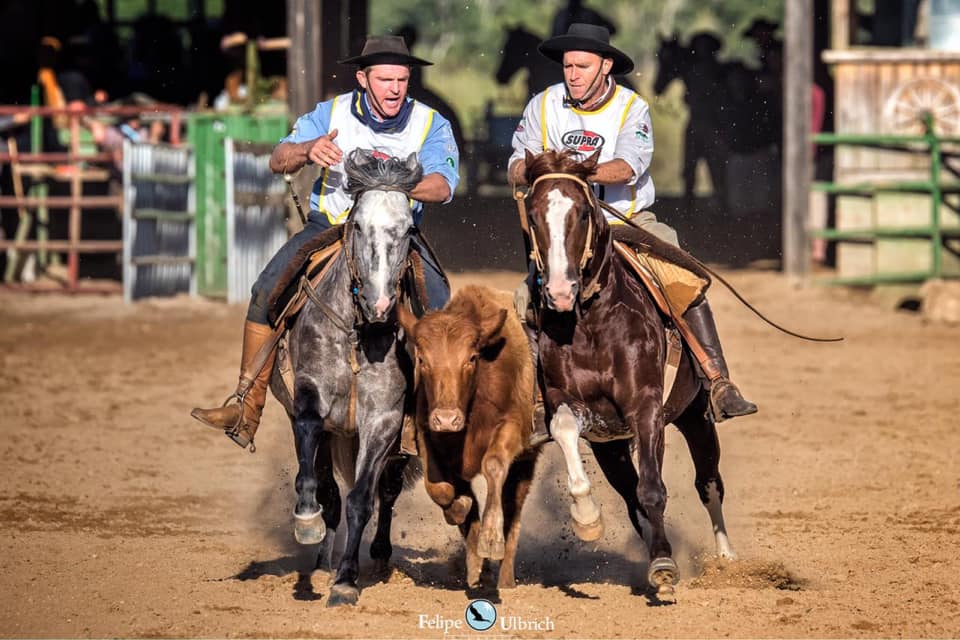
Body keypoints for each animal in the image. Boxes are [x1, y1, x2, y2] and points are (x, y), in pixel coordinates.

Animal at [270, 149, 420, 604]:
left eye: (408, 229)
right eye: (357, 224)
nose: (381, 302)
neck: (359, 331)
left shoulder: (384, 421)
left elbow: (361, 500)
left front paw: (347, 580)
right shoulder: (310, 399)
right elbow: (321, 484)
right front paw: (308, 524)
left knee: (386, 491)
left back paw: (380, 555)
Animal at [398, 284, 540, 592]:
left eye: (471, 358)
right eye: (422, 360)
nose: (447, 418)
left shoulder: (511, 427)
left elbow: (494, 465)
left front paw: (490, 539)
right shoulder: (427, 433)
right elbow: (440, 488)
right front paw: (461, 509)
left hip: (525, 463)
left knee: (513, 508)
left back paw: (504, 576)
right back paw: (476, 569)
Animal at [516, 149, 736, 600]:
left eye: (583, 213)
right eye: (533, 213)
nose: (559, 291)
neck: (592, 322)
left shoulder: (646, 408)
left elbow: (654, 489)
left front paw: (666, 569)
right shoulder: (574, 407)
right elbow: (567, 431)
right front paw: (587, 519)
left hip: (695, 416)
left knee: (708, 483)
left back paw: (725, 559)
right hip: (612, 448)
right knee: (634, 500)